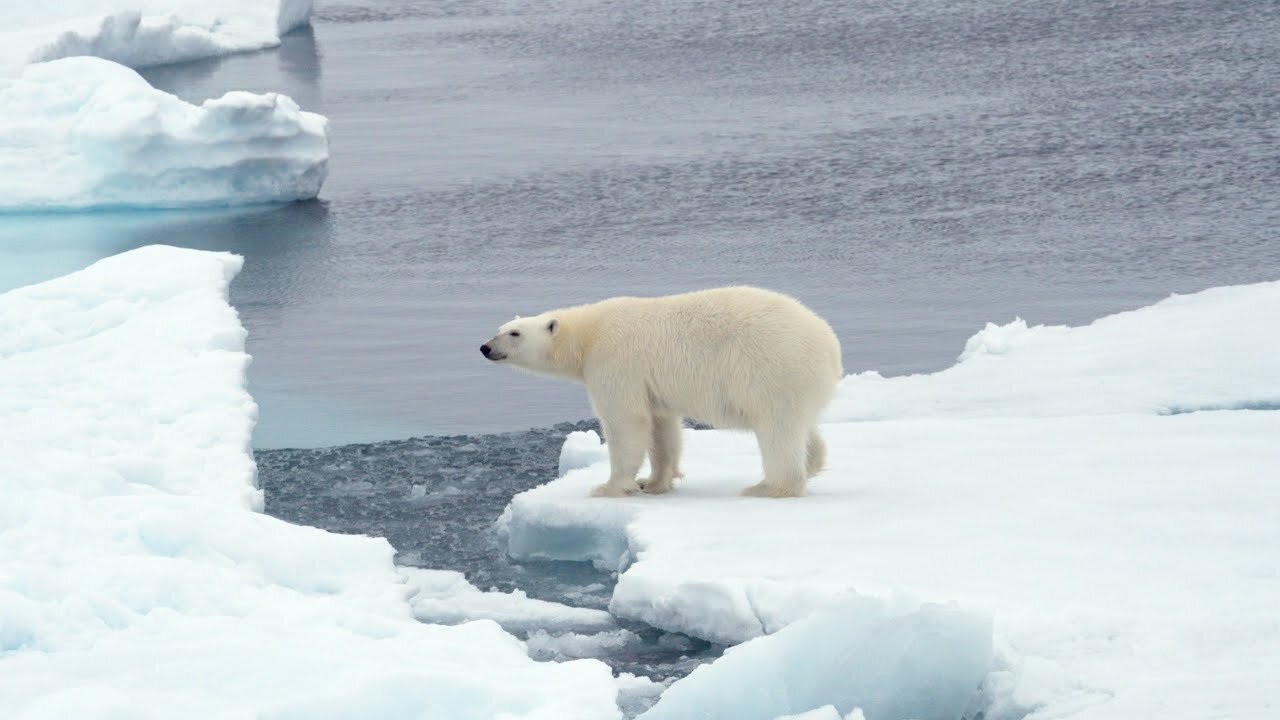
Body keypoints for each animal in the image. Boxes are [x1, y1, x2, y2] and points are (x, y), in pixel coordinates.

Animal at [478, 284, 839, 491]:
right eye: (500, 328)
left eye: (514, 334)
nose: (485, 347)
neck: (588, 335)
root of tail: (830, 344)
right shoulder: (651, 385)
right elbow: (662, 427)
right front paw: (653, 483)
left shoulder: (615, 362)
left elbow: (627, 421)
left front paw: (611, 486)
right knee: (801, 426)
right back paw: (812, 463)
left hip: (771, 369)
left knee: (777, 430)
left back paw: (770, 486)